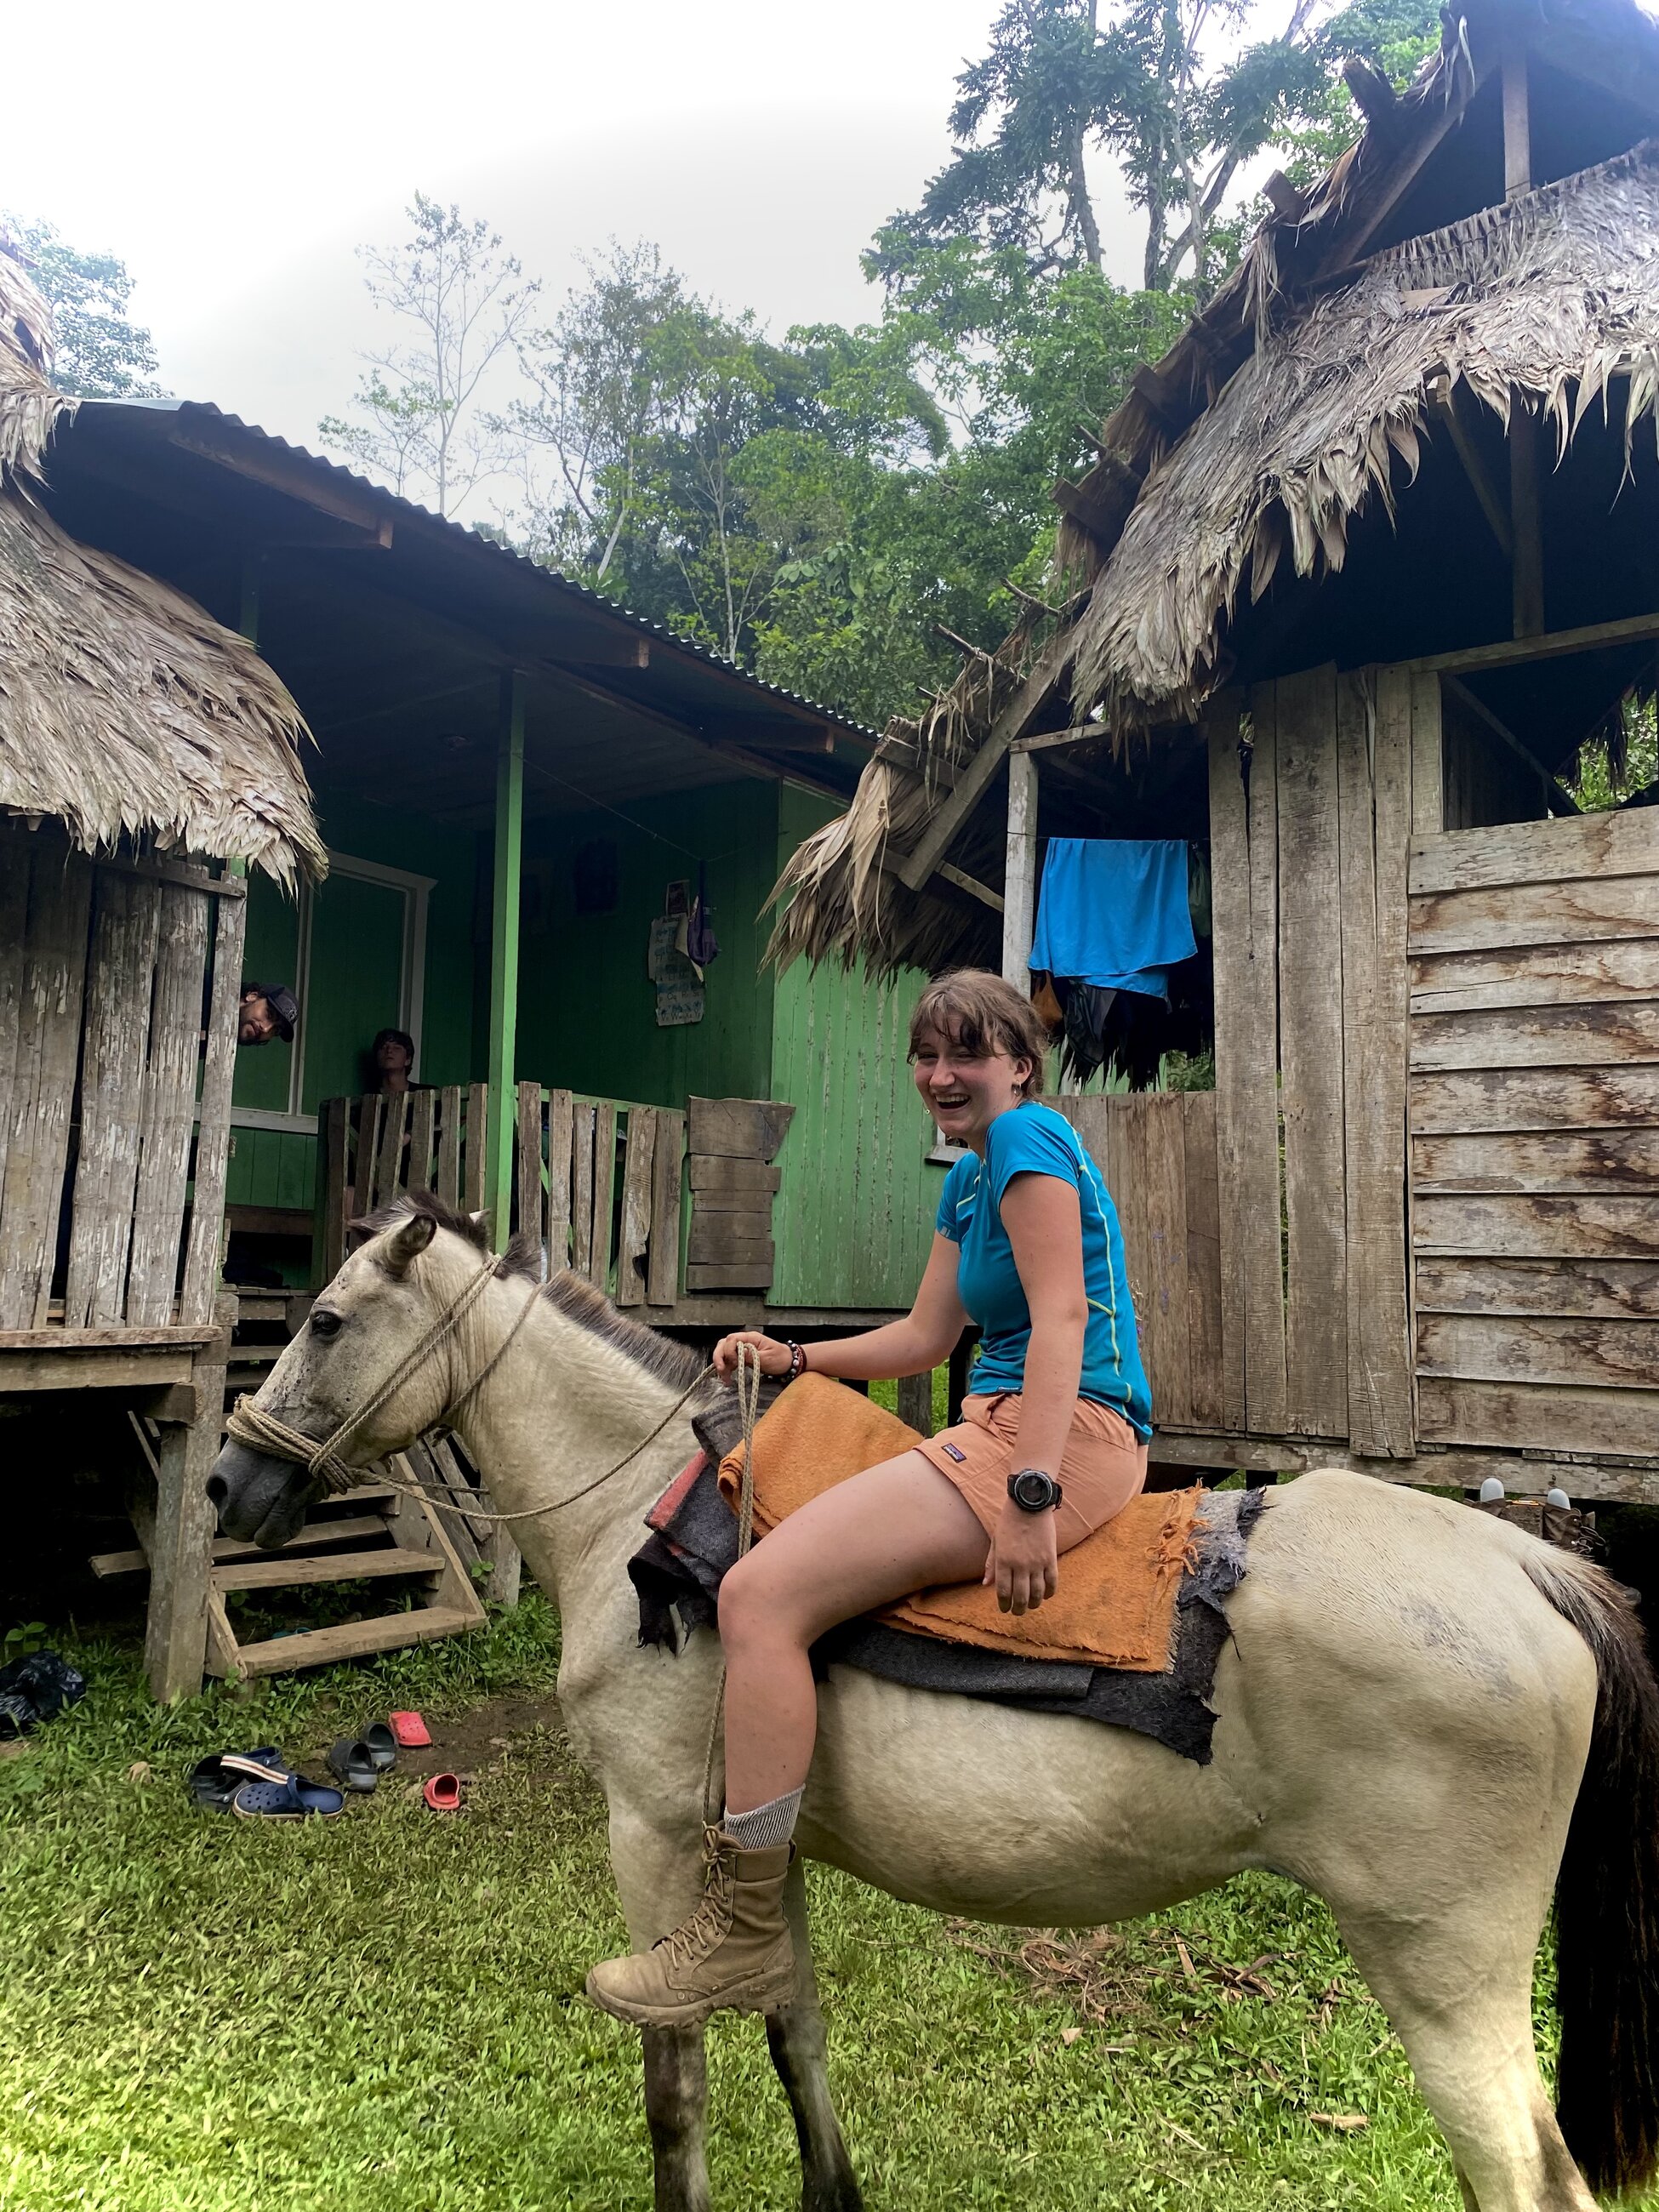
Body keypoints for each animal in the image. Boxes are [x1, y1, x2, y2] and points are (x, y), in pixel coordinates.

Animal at [211, 1203, 1659, 2212]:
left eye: (325, 1321)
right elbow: (793, 2028)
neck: (639, 1510)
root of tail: (1529, 1565)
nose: (227, 1483)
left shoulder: (652, 1834)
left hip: (1442, 1974)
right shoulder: (760, 1840)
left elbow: (675, 2081)